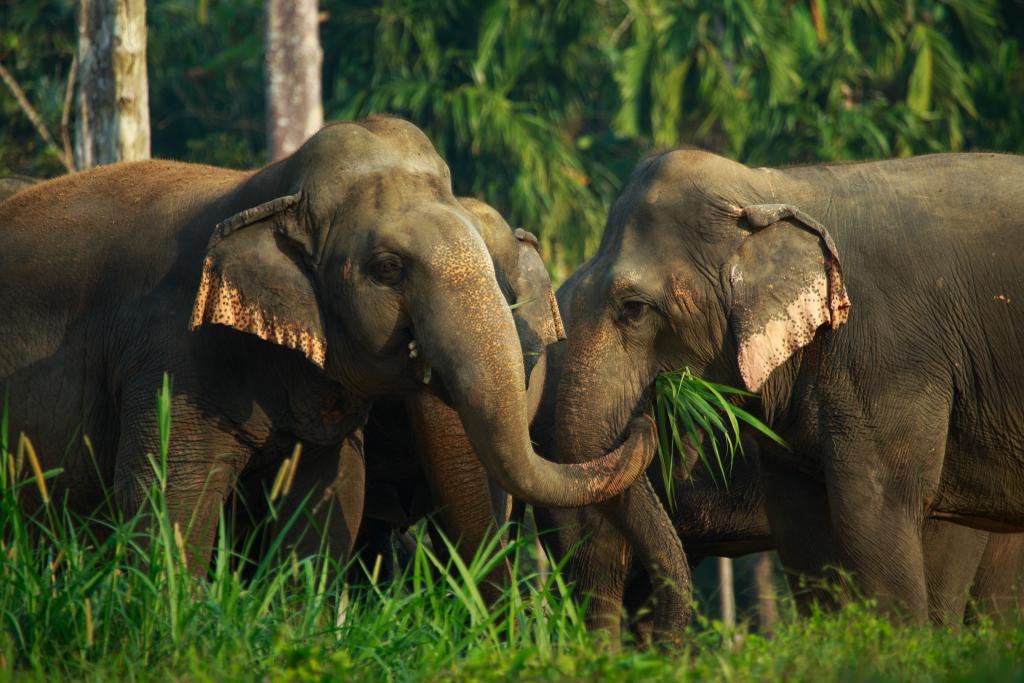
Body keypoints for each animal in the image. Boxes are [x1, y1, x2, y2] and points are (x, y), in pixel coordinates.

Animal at [0, 116, 655, 573]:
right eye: (387, 269)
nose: (644, 419)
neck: (267, 189)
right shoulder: (171, 352)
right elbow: (169, 492)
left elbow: (331, 492)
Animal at [536, 147, 1024, 634]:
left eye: (633, 308)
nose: (648, 416)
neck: (770, 191)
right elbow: (813, 521)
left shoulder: (893, 353)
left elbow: (877, 511)